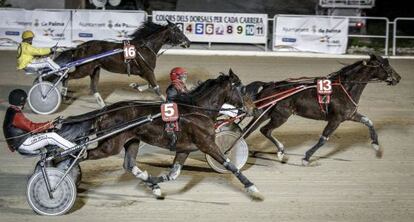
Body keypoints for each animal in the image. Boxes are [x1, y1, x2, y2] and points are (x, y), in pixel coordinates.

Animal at [55, 20, 191, 107]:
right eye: (178, 31)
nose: (188, 43)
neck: (145, 47)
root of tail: (80, 47)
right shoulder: (148, 71)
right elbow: (156, 88)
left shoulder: (144, 72)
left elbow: (150, 85)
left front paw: (135, 86)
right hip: (85, 69)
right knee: (67, 76)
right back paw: (63, 94)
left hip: (95, 69)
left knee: (93, 88)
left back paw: (103, 106)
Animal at [66, 69, 262, 199]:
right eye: (243, 89)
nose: (254, 109)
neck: (197, 110)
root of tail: (106, 111)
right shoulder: (207, 144)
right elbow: (230, 165)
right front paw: (252, 187)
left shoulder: (184, 149)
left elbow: (173, 174)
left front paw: (154, 182)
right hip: (110, 145)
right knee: (82, 155)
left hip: (132, 141)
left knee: (129, 164)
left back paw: (150, 183)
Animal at [243, 53, 402, 165]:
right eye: (386, 66)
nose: (398, 78)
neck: (345, 88)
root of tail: (268, 85)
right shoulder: (336, 119)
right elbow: (323, 139)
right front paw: (306, 158)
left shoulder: (350, 115)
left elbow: (368, 121)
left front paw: (375, 145)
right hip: (280, 116)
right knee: (264, 130)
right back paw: (278, 151)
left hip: (264, 114)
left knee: (250, 130)